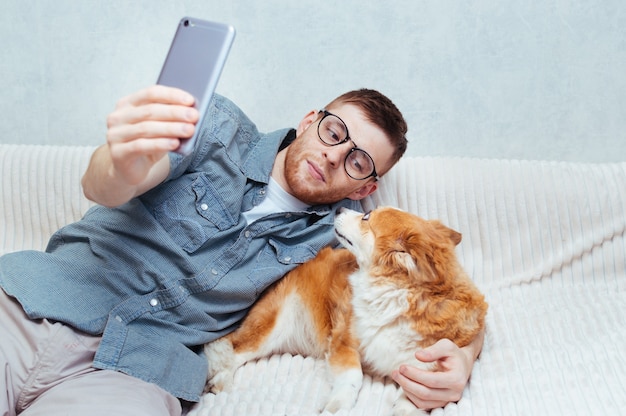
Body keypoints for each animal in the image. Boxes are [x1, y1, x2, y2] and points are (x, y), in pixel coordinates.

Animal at [202, 206, 486, 414]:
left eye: (366, 217)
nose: (337, 208)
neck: (396, 294)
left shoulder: (427, 364)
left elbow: (414, 396)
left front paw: (405, 408)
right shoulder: (344, 341)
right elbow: (353, 376)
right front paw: (337, 404)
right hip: (273, 326)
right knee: (233, 349)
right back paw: (220, 378)